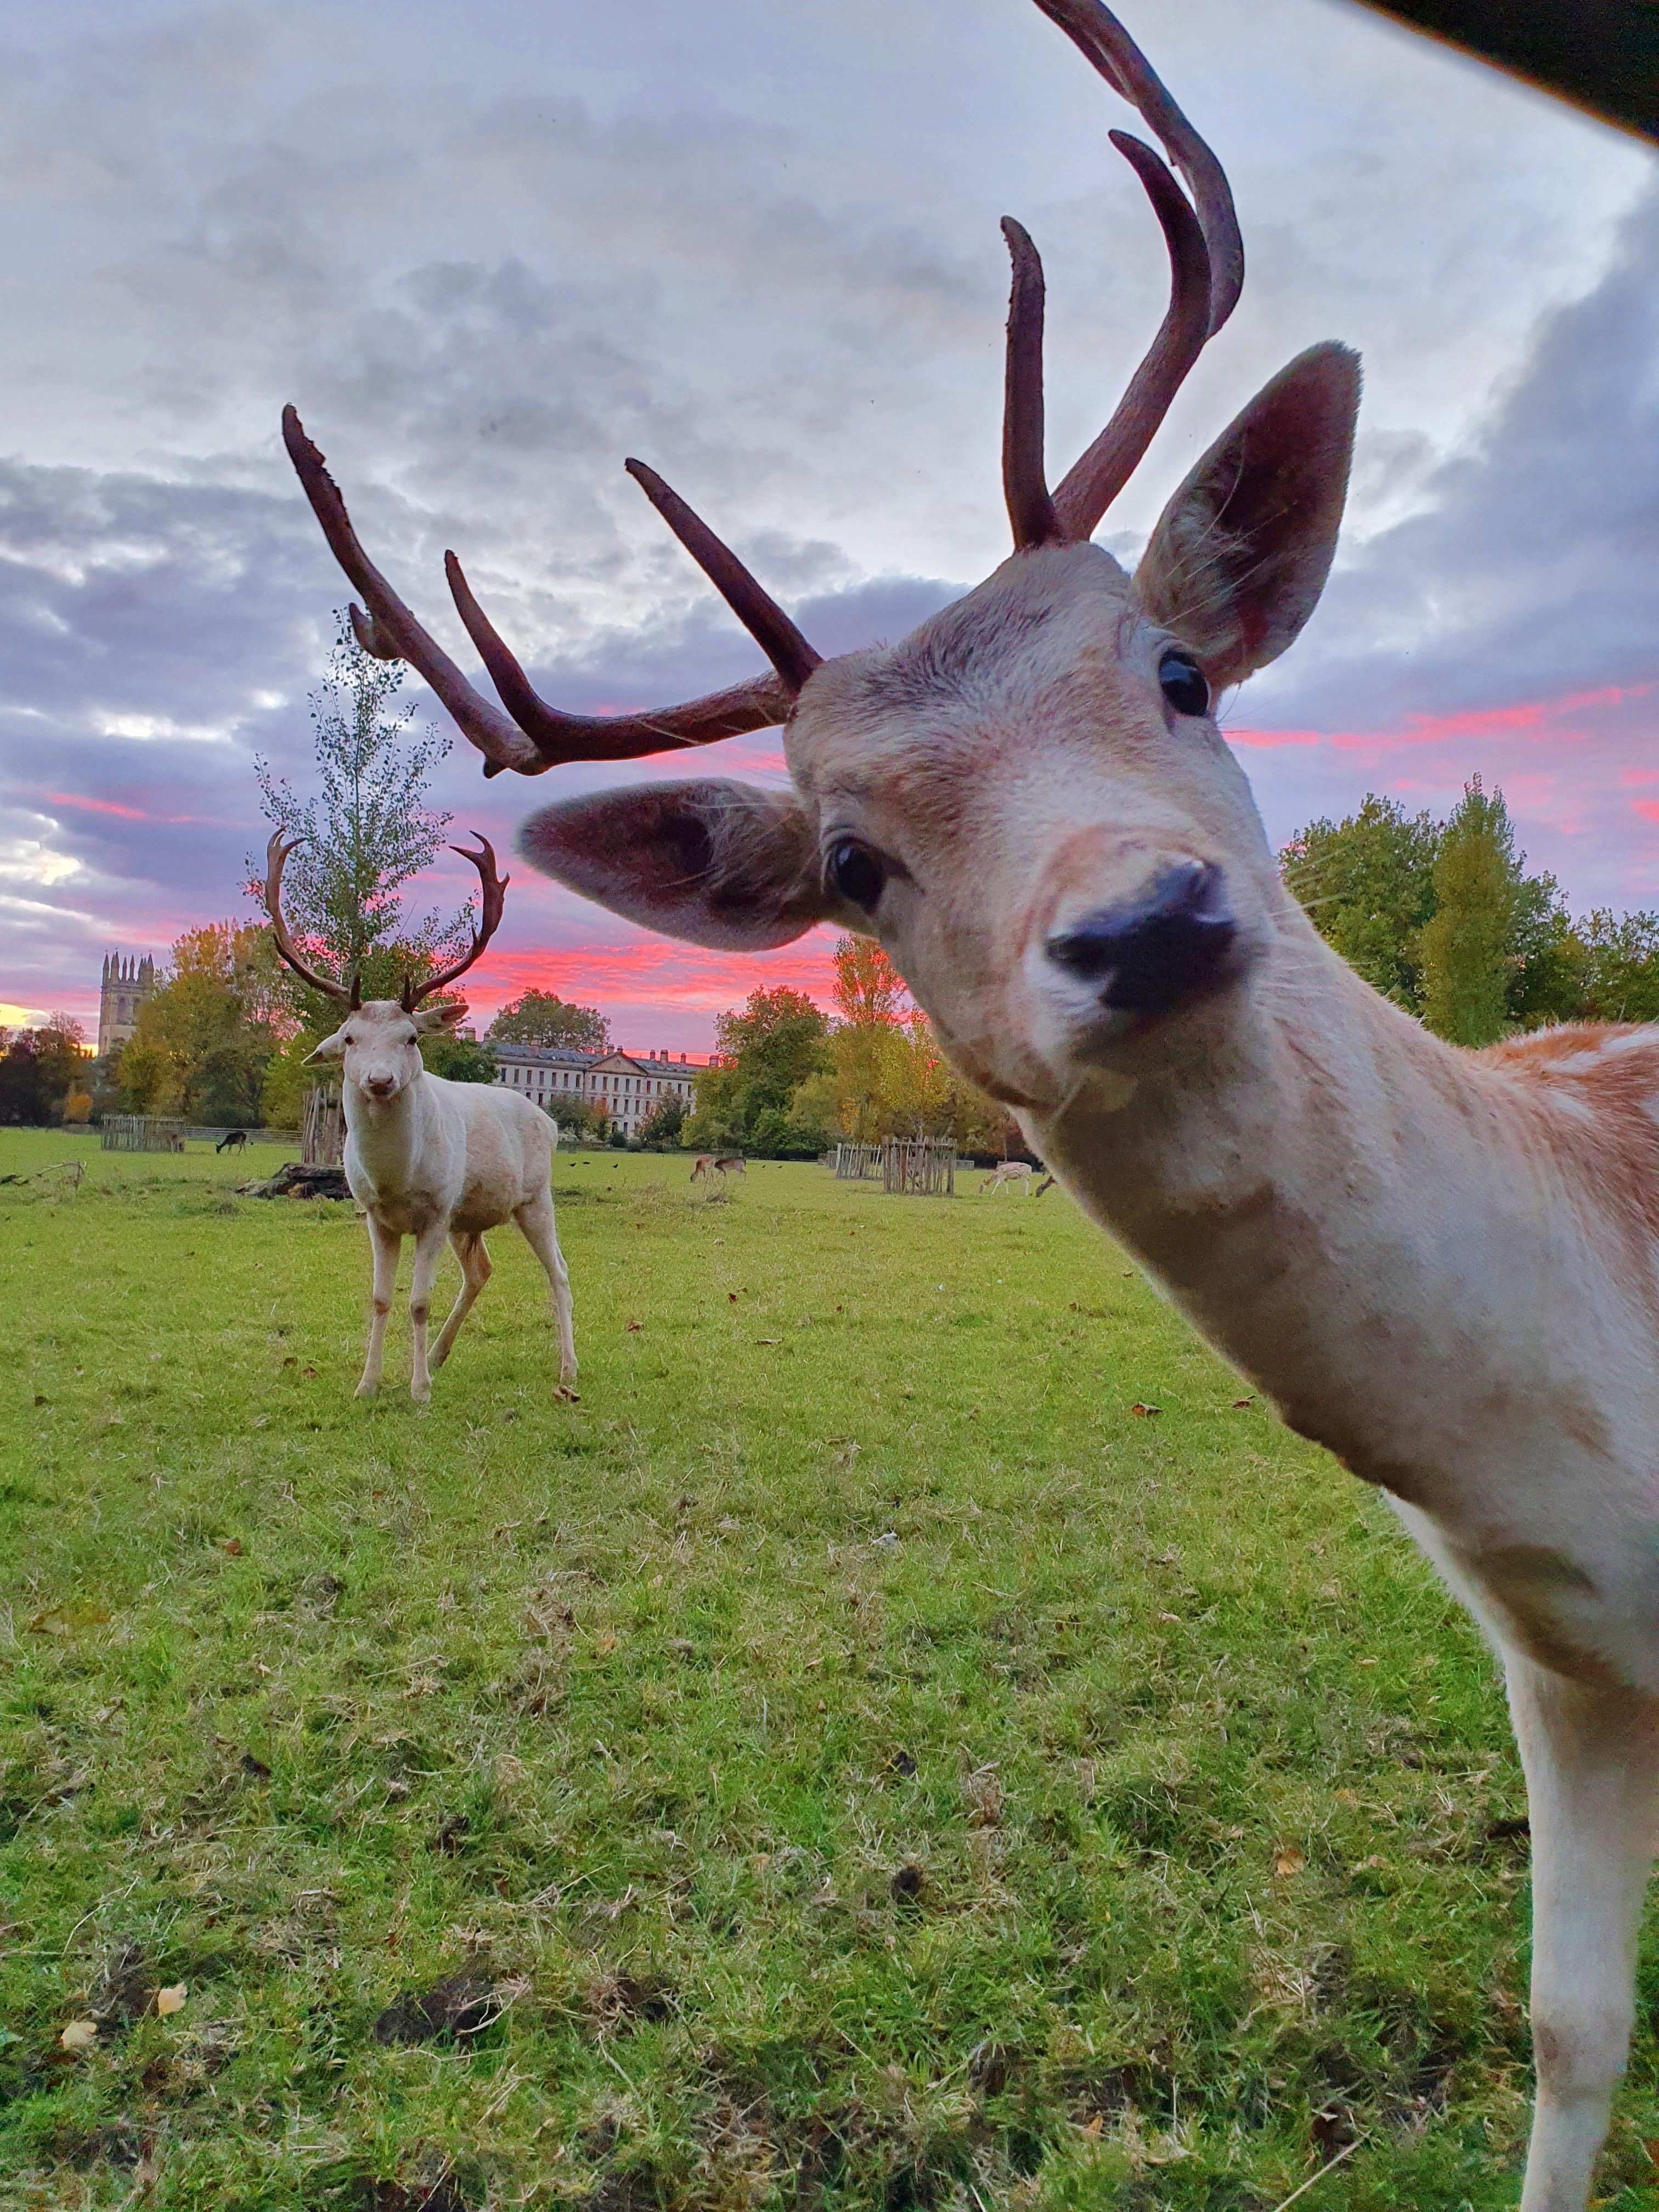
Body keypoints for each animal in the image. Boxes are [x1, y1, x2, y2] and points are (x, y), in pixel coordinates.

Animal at [263, 832, 577, 1403]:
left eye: (411, 1037)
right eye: (348, 1038)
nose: (379, 1080)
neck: (395, 1180)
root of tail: (550, 1122)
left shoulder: (434, 1210)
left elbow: (418, 1301)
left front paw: (418, 1392)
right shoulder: (376, 1215)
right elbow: (381, 1298)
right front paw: (368, 1384)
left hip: (533, 1197)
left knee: (559, 1272)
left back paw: (567, 1370)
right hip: (468, 1215)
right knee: (481, 1270)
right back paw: (437, 1356)